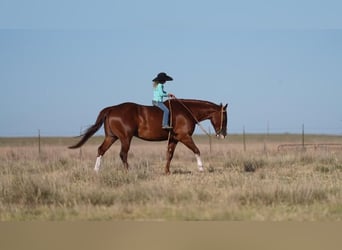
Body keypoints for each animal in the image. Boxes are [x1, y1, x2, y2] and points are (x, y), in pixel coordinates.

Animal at [69, 98, 227, 174]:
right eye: (224, 117)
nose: (223, 134)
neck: (186, 111)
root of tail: (112, 108)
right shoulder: (184, 137)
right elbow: (196, 150)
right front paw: (201, 168)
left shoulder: (174, 139)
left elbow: (169, 155)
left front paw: (167, 171)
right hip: (125, 138)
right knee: (123, 154)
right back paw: (128, 172)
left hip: (111, 137)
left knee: (101, 150)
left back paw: (96, 171)